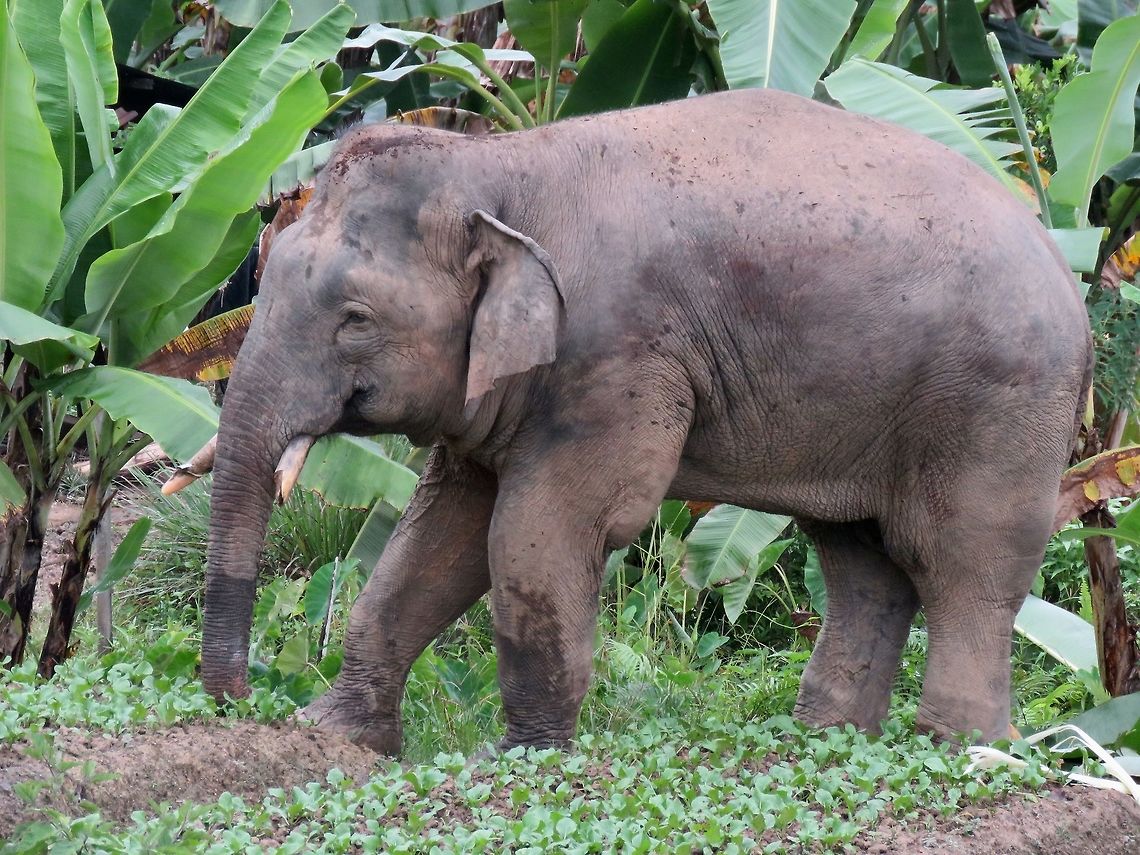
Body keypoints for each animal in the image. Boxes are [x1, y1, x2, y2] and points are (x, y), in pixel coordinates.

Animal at [189, 87, 1093, 755]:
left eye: (355, 320)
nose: (240, 704)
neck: (502, 166)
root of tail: (1069, 273)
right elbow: (441, 535)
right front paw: (335, 738)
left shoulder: (619, 356)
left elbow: (539, 531)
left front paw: (517, 759)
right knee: (862, 561)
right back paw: (822, 740)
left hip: (998, 403)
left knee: (963, 563)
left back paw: (957, 750)